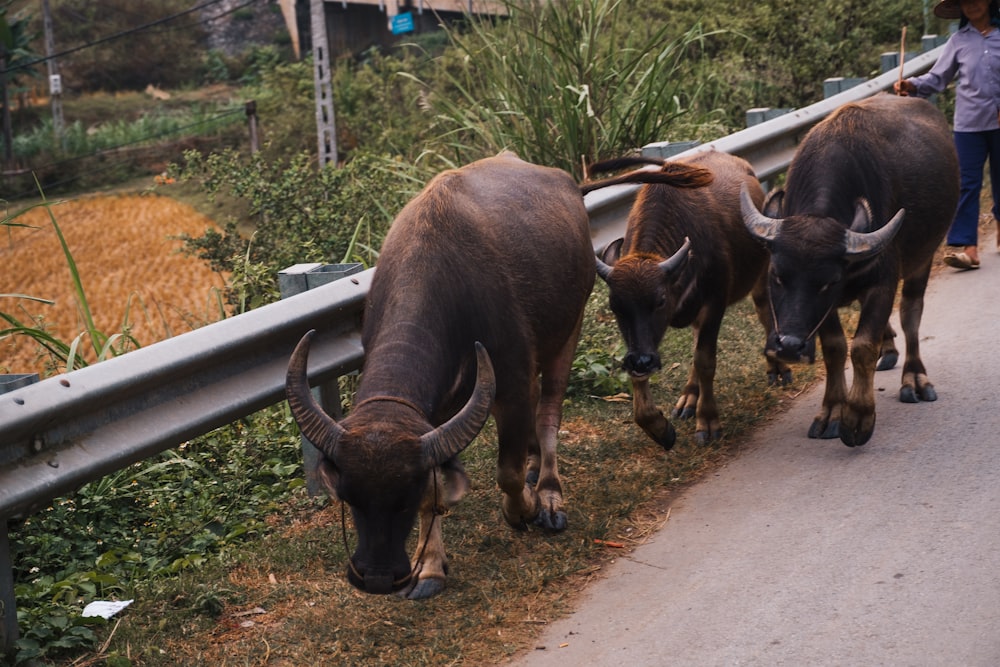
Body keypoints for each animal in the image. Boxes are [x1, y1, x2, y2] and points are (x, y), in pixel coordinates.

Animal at [284, 153, 592, 600]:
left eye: (403, 499)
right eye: (349, 496)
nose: (377, 576)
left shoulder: (513, 385)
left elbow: (508, 472)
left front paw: (525, 509)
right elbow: (440, 491)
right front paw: (429, 569)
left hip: (570, 328)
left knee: (549, 410)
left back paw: (549, 495)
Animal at [580, 151, 788, 448]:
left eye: (659, 301)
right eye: (615, 306)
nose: (642, 361)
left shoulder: (715, 303)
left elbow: (705, 361)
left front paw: (708, 421)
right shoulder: (640, 341)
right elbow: (646, 374)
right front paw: (658, 427)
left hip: (762, 269)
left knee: (763, 308)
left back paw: (777, 368)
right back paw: (689, 398)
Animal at [744, 92, 960, 448]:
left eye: (827, 282)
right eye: (777, 275)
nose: (788, 345)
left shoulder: (882, 283)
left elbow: (862, 345)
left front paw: (857, 418)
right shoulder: (826, 309)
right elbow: (834, 348)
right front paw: (832, 411)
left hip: (923, 258)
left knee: (911, 313)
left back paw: (914, 379)